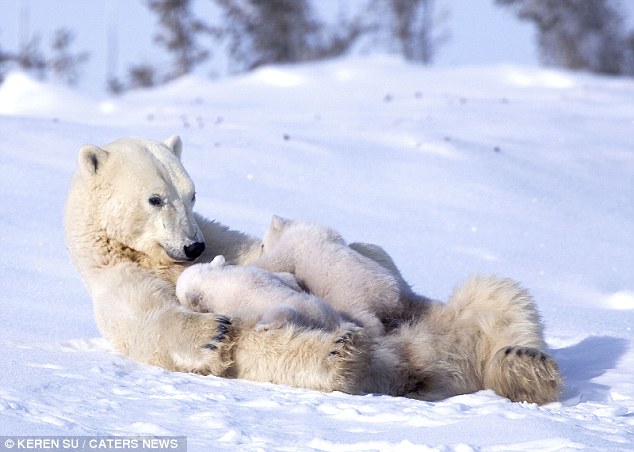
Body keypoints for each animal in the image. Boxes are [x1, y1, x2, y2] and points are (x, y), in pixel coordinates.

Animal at [63, 136, 556, 404]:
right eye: (154, 198)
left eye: (192, 194)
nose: (192, 245)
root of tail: (438, 362)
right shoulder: (116, 279)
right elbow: (150, 322)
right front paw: (212, 332)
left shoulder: (225, 239)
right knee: (287, 350)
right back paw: (344, 354)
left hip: (442, 312)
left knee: (499, 295)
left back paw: (526, 366)